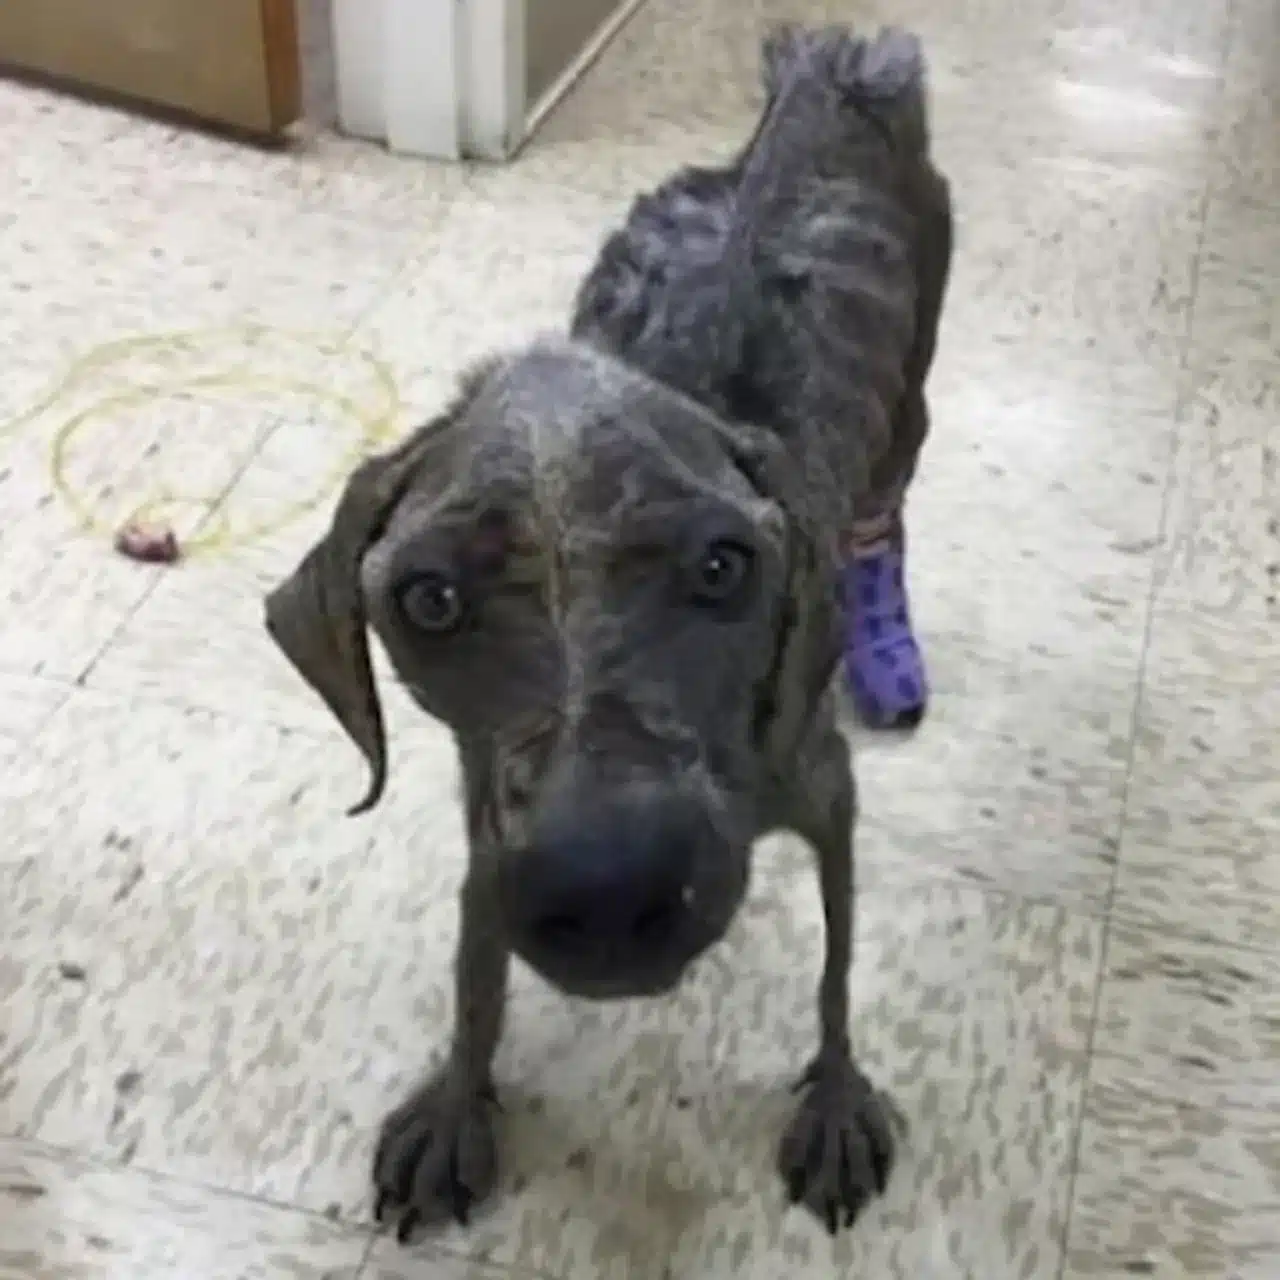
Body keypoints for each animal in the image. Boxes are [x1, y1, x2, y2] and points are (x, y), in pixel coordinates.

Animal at [265, 24, 952, 1242]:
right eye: (428, 599)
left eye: (724, 566)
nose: (605, 889)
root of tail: (831, 71)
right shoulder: (487, 830)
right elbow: (474, 972)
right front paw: (458, 1099)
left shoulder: (823, 794)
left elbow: (836, 973)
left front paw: (833, 1097)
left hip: (913, 398)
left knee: (888, 505)